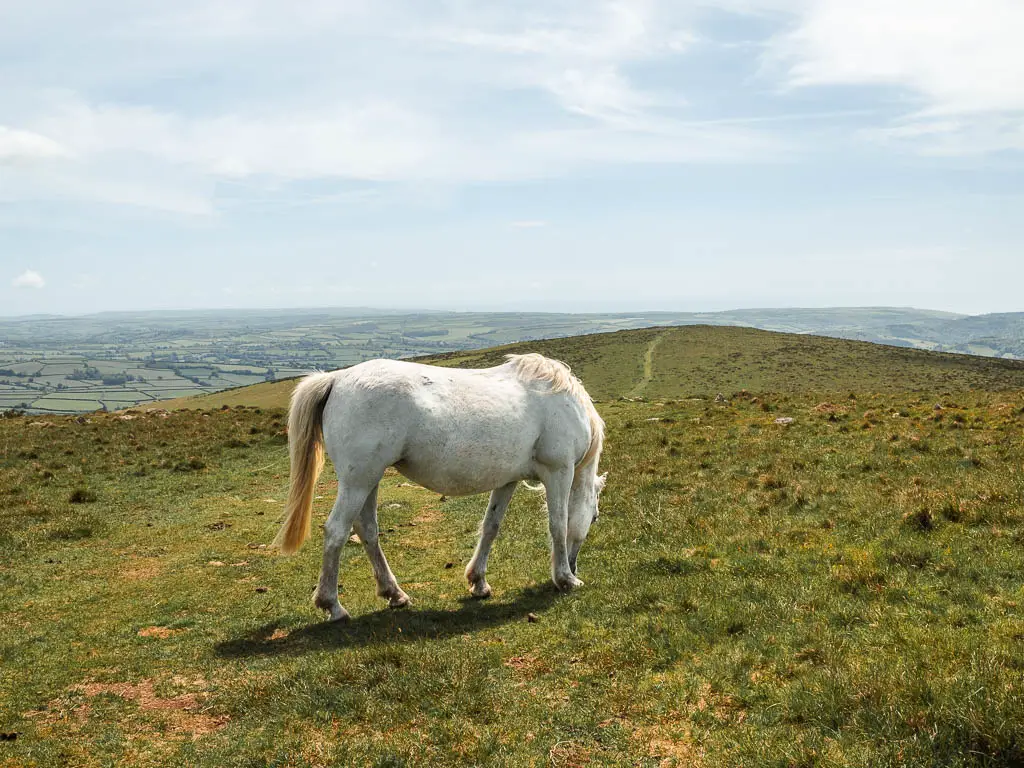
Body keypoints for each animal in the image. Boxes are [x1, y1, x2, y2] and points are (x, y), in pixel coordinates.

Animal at [274, 352, 606, 622]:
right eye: (594, 518)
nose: (574, 566)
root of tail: (337, 379)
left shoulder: (507, 481)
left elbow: (491, 527)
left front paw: (478, 582)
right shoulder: (559, 471)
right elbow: (559, 524)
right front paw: (565, 579)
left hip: (369, 481)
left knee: (367, 530)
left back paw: (394, 594)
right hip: (358, 482)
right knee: (336, 531)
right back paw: (333, 606)